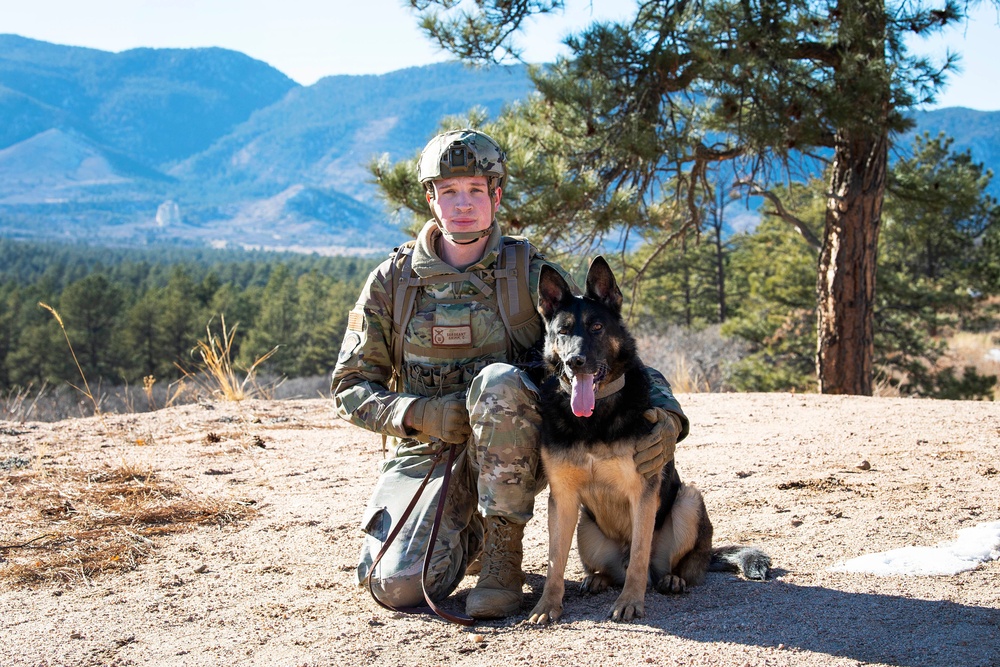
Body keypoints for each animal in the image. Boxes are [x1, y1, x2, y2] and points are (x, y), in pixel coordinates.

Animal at [528, 258, 768, 628]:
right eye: (563, 331)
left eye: (597, 327)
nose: (574, 362)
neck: (595, 417)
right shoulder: (563, 500)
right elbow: (556, 561)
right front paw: (547, 605)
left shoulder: (642, 492)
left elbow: (640, 555)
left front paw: (630, 602)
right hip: (585, 528)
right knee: (611, 570)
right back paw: (597, 579)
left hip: (689, 501)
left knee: (678, 566)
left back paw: (673, 579)